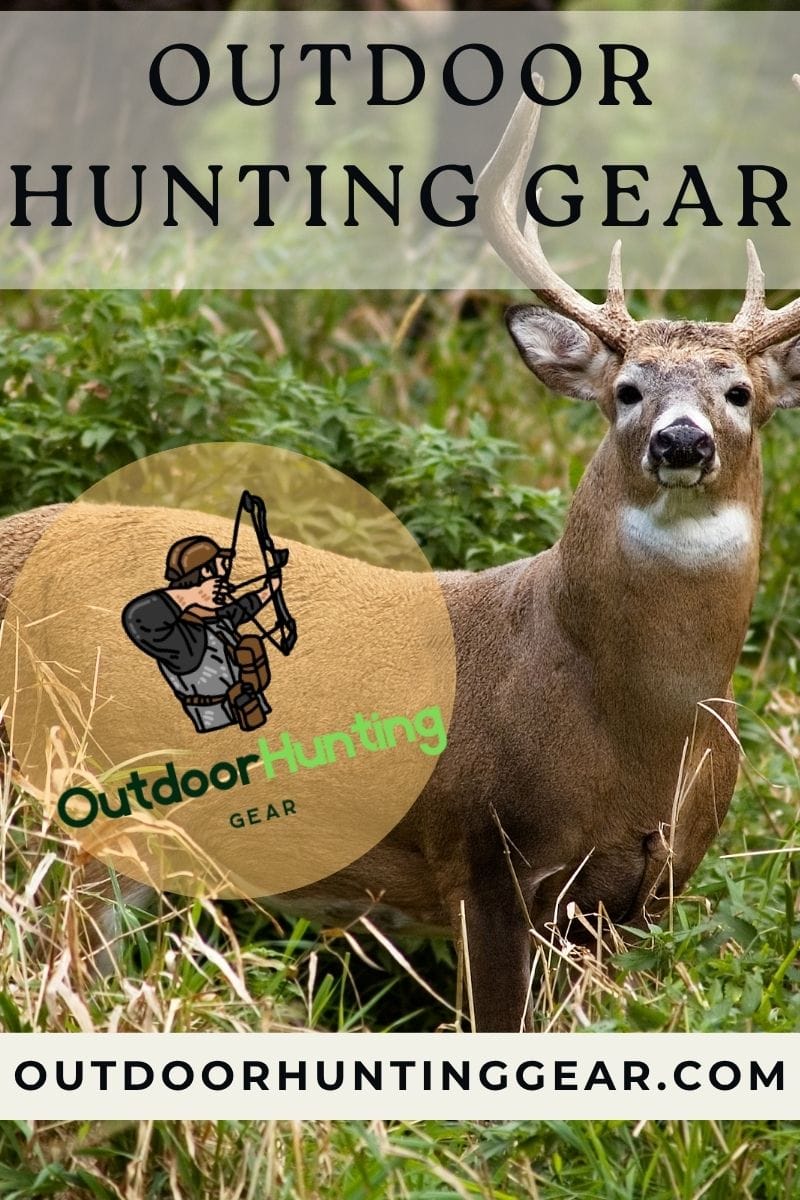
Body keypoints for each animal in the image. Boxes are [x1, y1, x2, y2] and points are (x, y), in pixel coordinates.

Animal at [2, 89, 800, 1033]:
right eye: (626, 390)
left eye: (740, 392)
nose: (682, 442)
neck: (638, 732)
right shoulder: (483, 852)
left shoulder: (648, 890)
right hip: (65, 784)